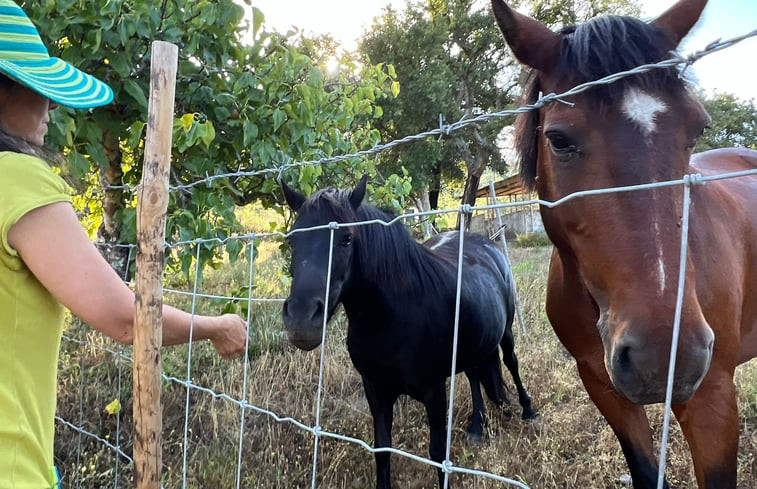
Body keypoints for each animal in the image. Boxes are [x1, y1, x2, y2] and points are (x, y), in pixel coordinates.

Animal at [280, 176, 536, 488]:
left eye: (347, 238)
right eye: (292, 240)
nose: (301, 319)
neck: (390, 323)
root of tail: (488, 244)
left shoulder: (434, 392)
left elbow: (437, 454)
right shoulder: (375, 391)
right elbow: (382, 449)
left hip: (506, 331)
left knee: (511, 362)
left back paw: (527, 409)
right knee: (475, 375)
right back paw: (477, 426)